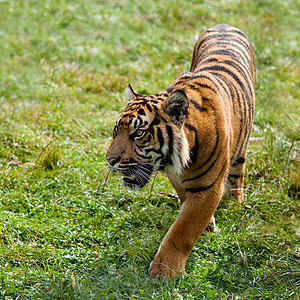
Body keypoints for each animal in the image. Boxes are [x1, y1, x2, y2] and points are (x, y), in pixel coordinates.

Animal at [105, 24, 255, 278]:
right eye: (117, 130)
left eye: (139, 133)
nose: (110, 160)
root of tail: (224, 25)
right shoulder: (177, 178)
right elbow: (185, 206)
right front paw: (208, 226)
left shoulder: (209, 188)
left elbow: (183, 229)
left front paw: (164, 271)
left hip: (241, 148)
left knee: (238, 175)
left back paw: (236, 203)